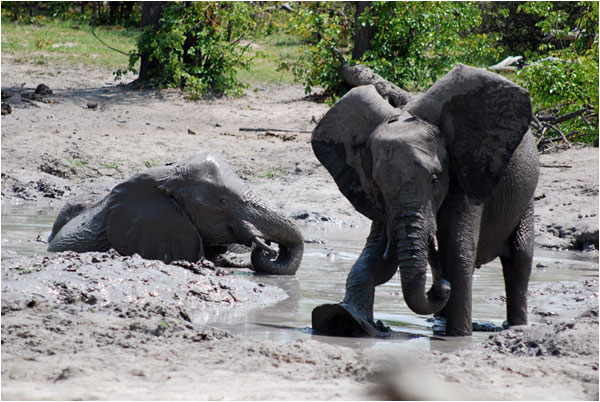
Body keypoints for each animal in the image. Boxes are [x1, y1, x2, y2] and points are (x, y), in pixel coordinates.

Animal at [312, 64, 536, 338]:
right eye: (378, 185)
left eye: (435, 178)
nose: (441, 287)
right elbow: (376, 256)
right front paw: (344, 319)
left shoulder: (464, 172)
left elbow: (458, 248)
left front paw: (458, 339)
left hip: (526, 192)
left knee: (519, 258)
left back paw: (514, 326)